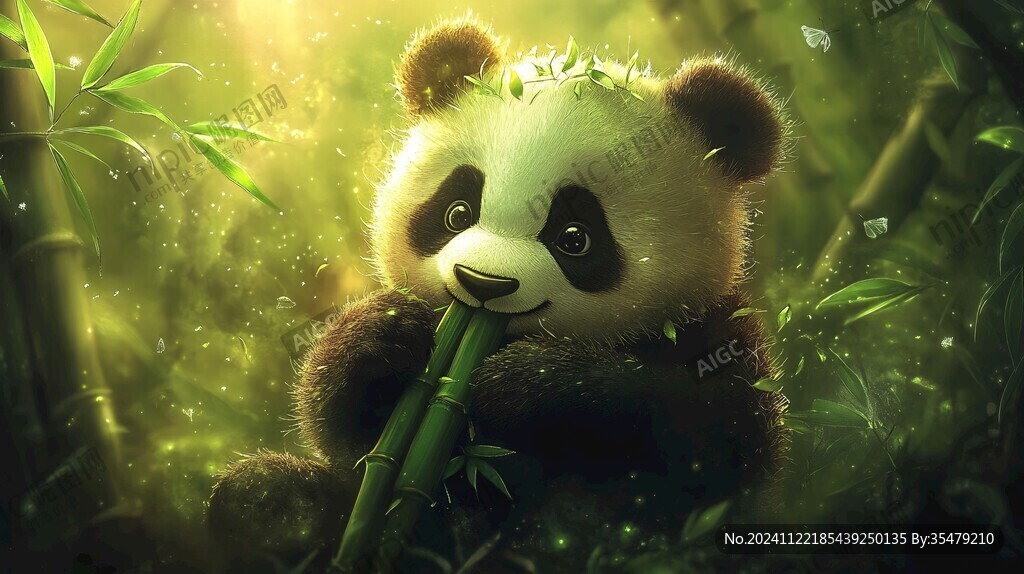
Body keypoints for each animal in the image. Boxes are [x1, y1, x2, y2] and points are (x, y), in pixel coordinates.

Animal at [209, 16, 790, 573]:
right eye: (457, 212)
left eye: (575, 238)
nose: (483, 283)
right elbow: (349, 433)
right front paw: (386, 335)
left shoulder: (715, 333)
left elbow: (712, 449)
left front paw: (525, 382)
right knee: (261, 498)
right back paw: (282, 513)